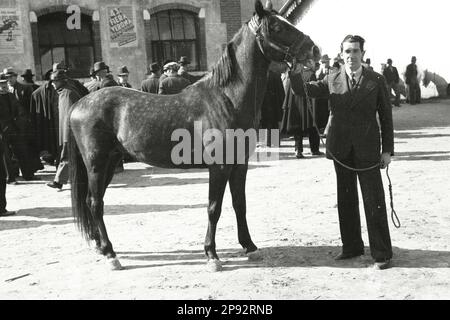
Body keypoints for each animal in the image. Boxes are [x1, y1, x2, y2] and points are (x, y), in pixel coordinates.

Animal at [68, 0, 320, 272]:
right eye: (276, 27)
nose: (314, 50)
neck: (225, 98)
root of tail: (79, 104)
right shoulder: (219, 167)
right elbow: (214, 208)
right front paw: (212, 255)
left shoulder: (239, 165)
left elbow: (239, 204)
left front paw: (249, 246)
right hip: (97, 164)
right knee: (96, 203)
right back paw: (110, 254)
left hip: (110, 162)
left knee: (92, 201)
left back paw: (100, 246)